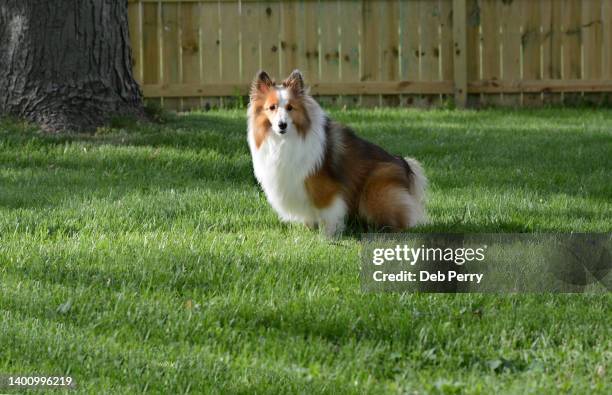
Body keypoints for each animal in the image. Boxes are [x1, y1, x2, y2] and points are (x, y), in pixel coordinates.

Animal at [246, 69, 428, 237]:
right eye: (272, 107)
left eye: (290, 108)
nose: (282, 125)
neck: (285, 140)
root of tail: (404, 163)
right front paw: (309, 230)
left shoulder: (325, 189)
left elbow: (328, 214)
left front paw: (327, 237)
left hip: (375, 194)